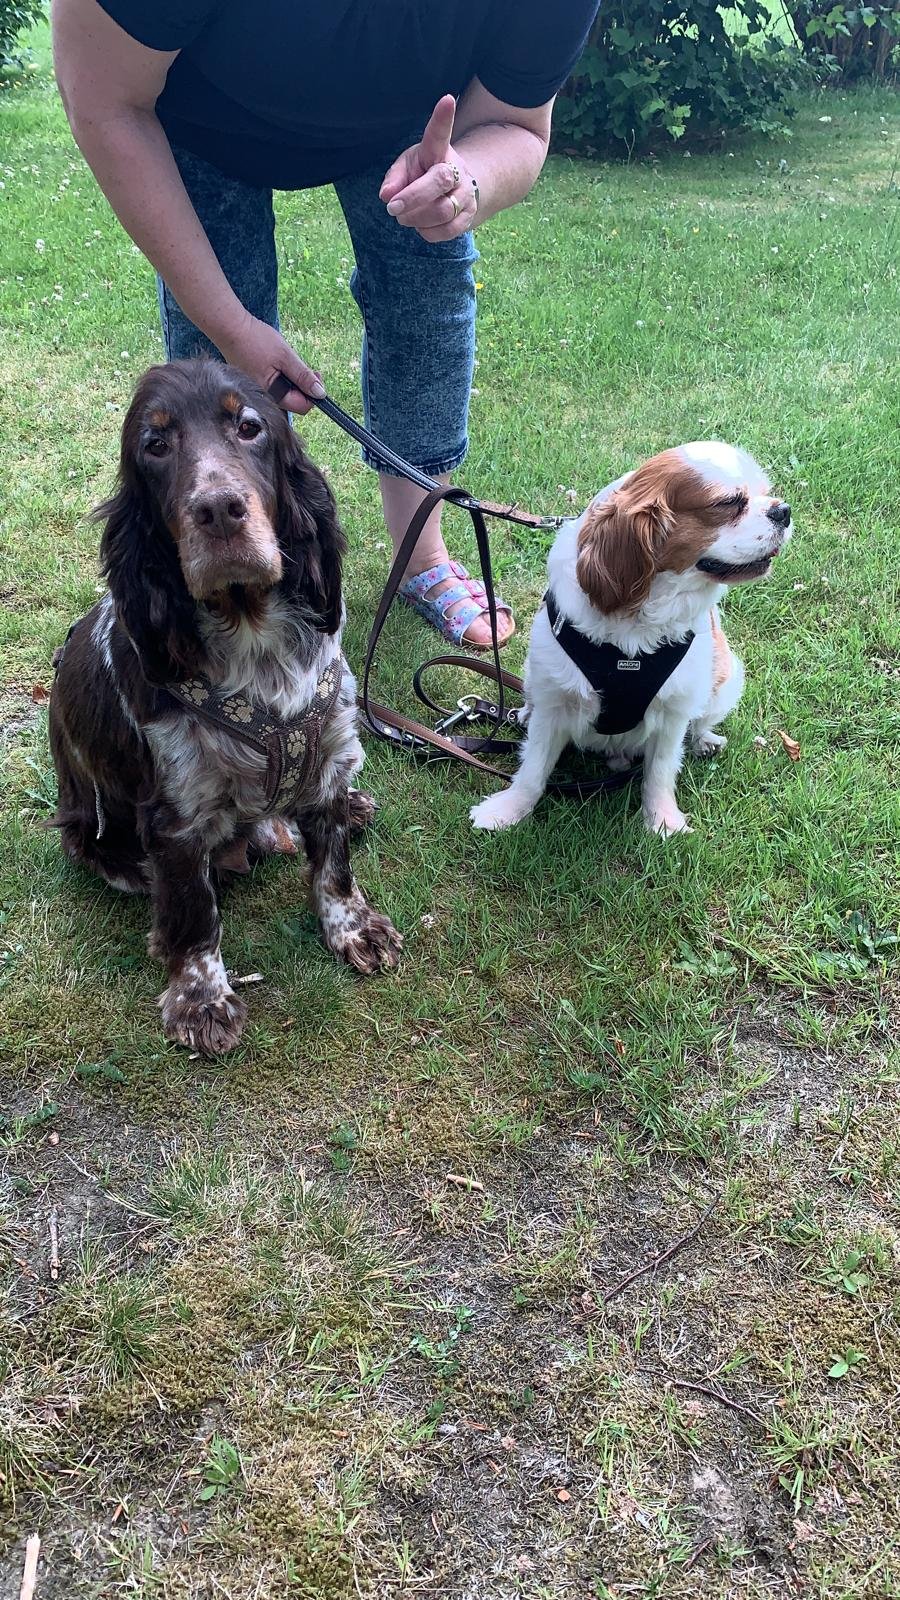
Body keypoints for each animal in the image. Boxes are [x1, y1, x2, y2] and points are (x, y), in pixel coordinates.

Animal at [50, 358, 401, 1055]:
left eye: (250, 427)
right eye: (155, 445)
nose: (218, 510)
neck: (253, 636)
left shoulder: (328, 754)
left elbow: (333, 868)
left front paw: (353, 928)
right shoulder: (176, 819)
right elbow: (193, 913)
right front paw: (202, 999)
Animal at [471, 442, 792, 837]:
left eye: (766, 492)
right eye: (729, 502)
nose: (783, 510)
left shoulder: (674, 710)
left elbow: (660, 772)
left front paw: (663, 821)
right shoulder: (555, 700)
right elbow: (533, 769)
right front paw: (508, 810)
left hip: (725, 679)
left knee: (701, 722)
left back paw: (705, 741)